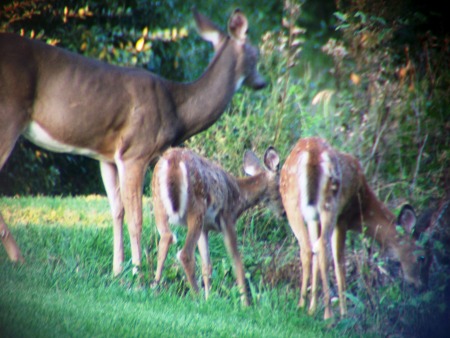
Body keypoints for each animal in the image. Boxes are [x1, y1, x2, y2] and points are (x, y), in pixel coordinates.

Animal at [0, 8, 268, 278]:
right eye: (256, 53)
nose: (262, 82)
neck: (177, 108)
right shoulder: (136, 152)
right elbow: (136, 217)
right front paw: (137, 273)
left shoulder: (107, 156)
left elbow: (117, 211)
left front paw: (117, 271)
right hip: (9, 114)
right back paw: (19, 259)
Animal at [151, 147, 284, 304]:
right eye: (281, 187)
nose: (284, 213)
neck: (240, 196)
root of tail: (173, 162)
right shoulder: (227, 220)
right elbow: (237, 263)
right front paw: (245, 303)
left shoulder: (205, 228)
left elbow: (207, 266)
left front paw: (209, 298)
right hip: (196, 207)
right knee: (185, 254)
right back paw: (196, 296)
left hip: (158, 202)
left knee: (166, 238)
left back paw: (154, 288)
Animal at [280, 137, 430, 320]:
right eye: (422, 257)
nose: (422, 286)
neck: (361, 209)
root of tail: (312, 155)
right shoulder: (343, 217)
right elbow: (340, 265)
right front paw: (343, 313)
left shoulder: (318, 219)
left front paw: (312, 308)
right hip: (320, 204)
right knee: (319, 248)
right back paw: (326, 314)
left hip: (301, 204)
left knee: (309, 248)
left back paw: (306, 307)